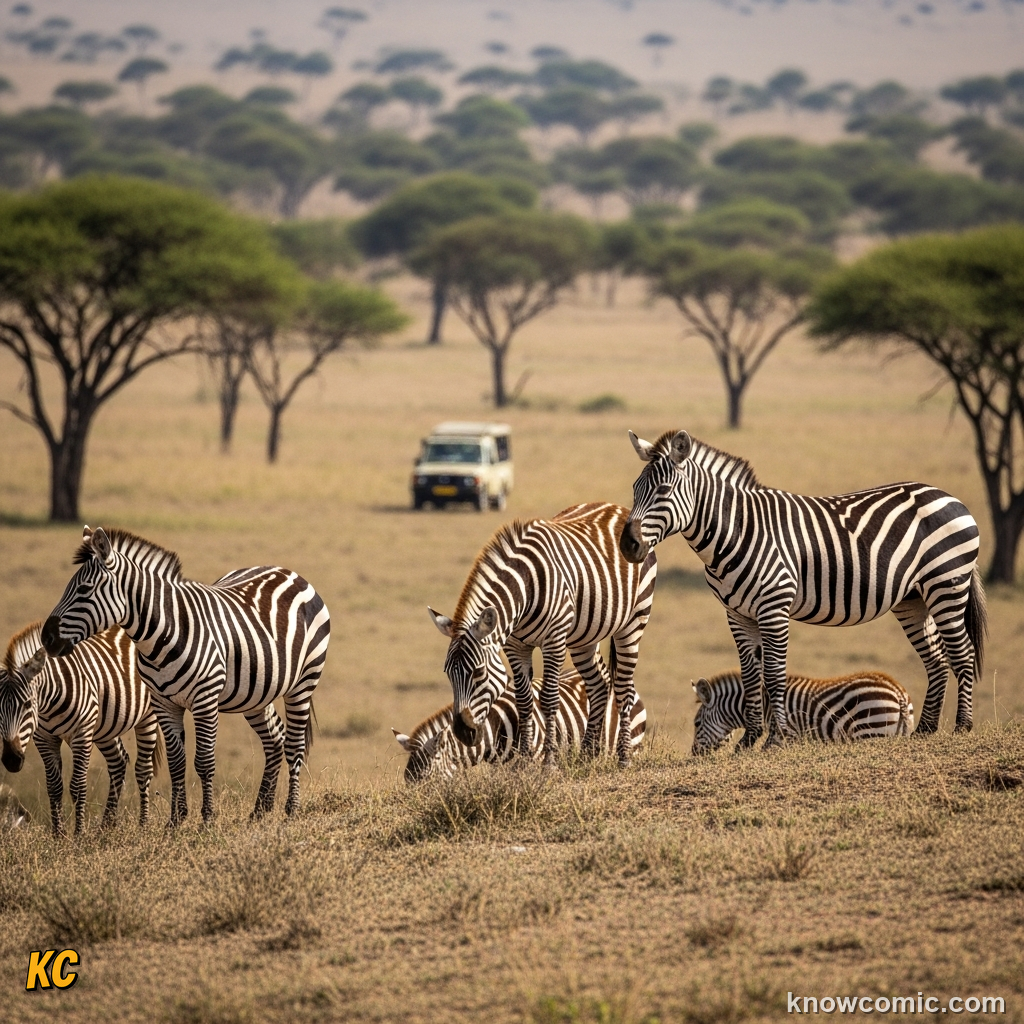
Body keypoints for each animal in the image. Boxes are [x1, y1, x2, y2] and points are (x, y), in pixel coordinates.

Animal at [0, 622, 161, 833]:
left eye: (27, 704)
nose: (11, 760)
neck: (48, 702)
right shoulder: (44, 738)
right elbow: (54, 787)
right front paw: (58, 834)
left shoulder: (82, 734)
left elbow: (77, 786)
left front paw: (79, 834)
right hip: (104, 728)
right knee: (118, 762)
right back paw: (106, 826)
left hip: (147, 715)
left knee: (143, 769)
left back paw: (143, 825)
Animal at [42, 526, 331, 825]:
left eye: (84, 590)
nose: (46, 638)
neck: (163, 633)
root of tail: (288, 572)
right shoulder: (164, 703)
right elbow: (176, 762)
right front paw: (176, 820)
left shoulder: (205, 700)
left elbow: (203, 761)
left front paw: (207, 819)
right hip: (257, 693)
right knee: (275, 739)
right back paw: (260, 810)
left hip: (303, 682)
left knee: (294, 744)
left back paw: (291, 810)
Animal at [394, 667, 647, 781]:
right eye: (407, 782)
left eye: (424, 779)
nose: (411, 806)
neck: (494, 729)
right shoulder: (500, 765)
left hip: (632, 744)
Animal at [429, 503, 658, 767]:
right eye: (447, 673)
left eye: (478, 672)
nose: (463, 734)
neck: (524, 589)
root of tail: (617, 507)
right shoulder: (515, 645)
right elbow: (524, 701)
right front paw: (524, 760)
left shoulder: (554, 640)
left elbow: (548, 699)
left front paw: (549, 762)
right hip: (583, 638)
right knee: (599, 685)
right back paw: (587, 754)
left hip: (633, 622)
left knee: (623, 688)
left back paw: (623, 757)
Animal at [691, 668, 914, 755]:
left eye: (696, 724)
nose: (694, 753)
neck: (764, 705)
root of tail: (898, 692)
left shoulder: (782, 736)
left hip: (871, 732)